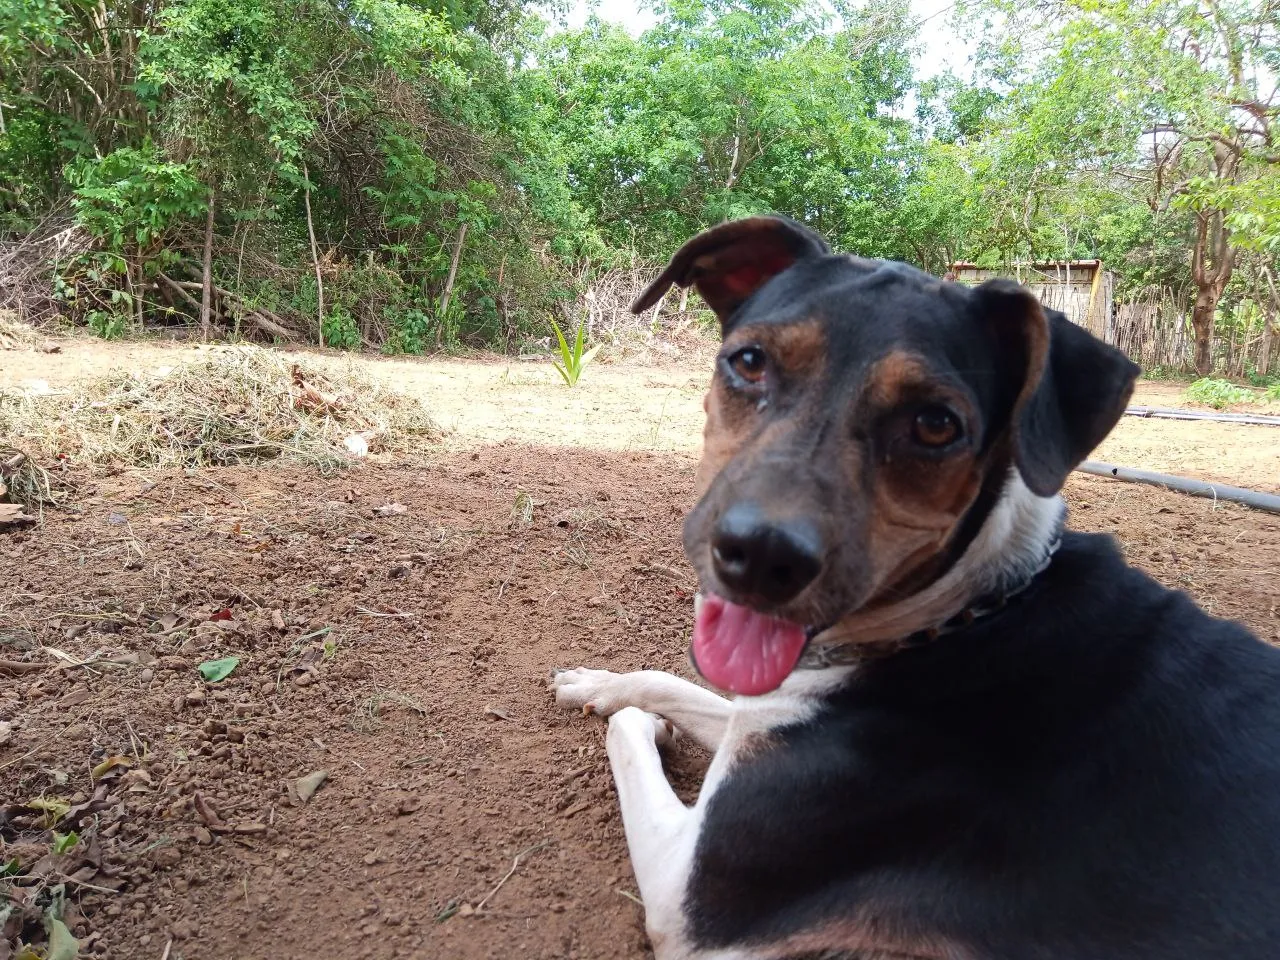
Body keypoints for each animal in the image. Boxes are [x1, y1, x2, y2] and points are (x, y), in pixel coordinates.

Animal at [547, 217, 1280, 960]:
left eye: (935, 424)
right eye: (750, 362)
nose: (759, 557)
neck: (964, 616)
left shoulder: (688, 898)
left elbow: (631, 738)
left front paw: (638, 717)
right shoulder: (768, 723)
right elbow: (682, 687)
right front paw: (602, 682)